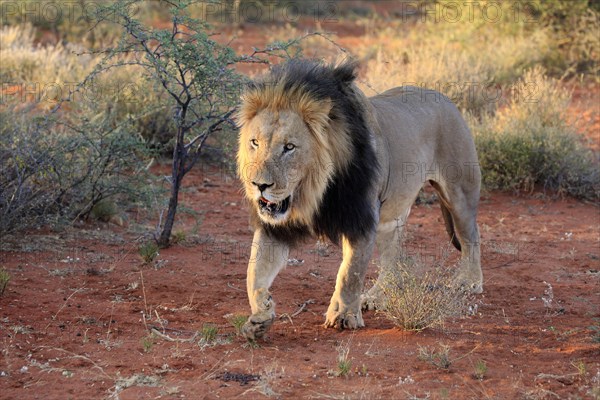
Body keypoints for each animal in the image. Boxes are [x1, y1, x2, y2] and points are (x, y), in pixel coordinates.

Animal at [236, 60, 482, 340]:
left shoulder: (360, 218)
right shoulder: (274, 226)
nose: (259, 185)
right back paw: (377, 296)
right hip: (392, 214)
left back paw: (469, 281)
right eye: (255, 143)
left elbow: (349, 272)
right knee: (392, 255)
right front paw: (260, 315)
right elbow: (254, 272)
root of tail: (446, 99)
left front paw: (343, 316)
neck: (313, 193)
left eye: (289, 147)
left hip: (459, 192)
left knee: (471, 236)